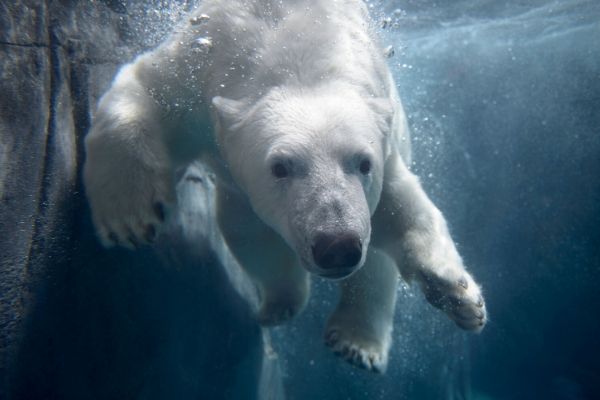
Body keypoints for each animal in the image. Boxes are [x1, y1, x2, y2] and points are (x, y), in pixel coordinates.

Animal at [83, 0, 488, 374]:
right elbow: (144, 90)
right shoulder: (197, 68)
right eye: (280, 167)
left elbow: (405, 213)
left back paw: (356, 343)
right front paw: (129, 215)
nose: (338, 246)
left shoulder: (384, 155)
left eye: (363, 163)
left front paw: (461, 297)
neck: (298, 46)